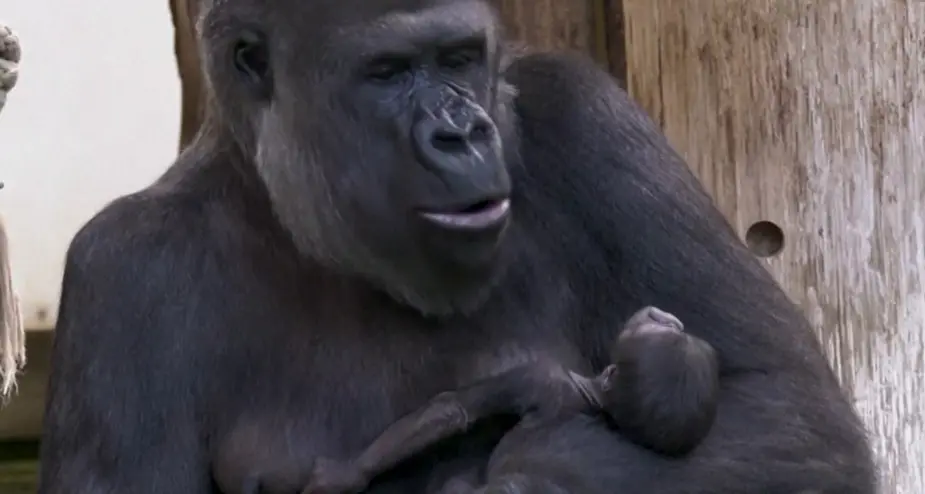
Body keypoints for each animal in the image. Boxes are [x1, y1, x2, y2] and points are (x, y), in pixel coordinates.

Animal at [38, 1, 876, 493]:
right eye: (388, 71)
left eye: (459, 57)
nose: (462, 133)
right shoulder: (120, 273)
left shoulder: (584, 114)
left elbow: (789, 412)